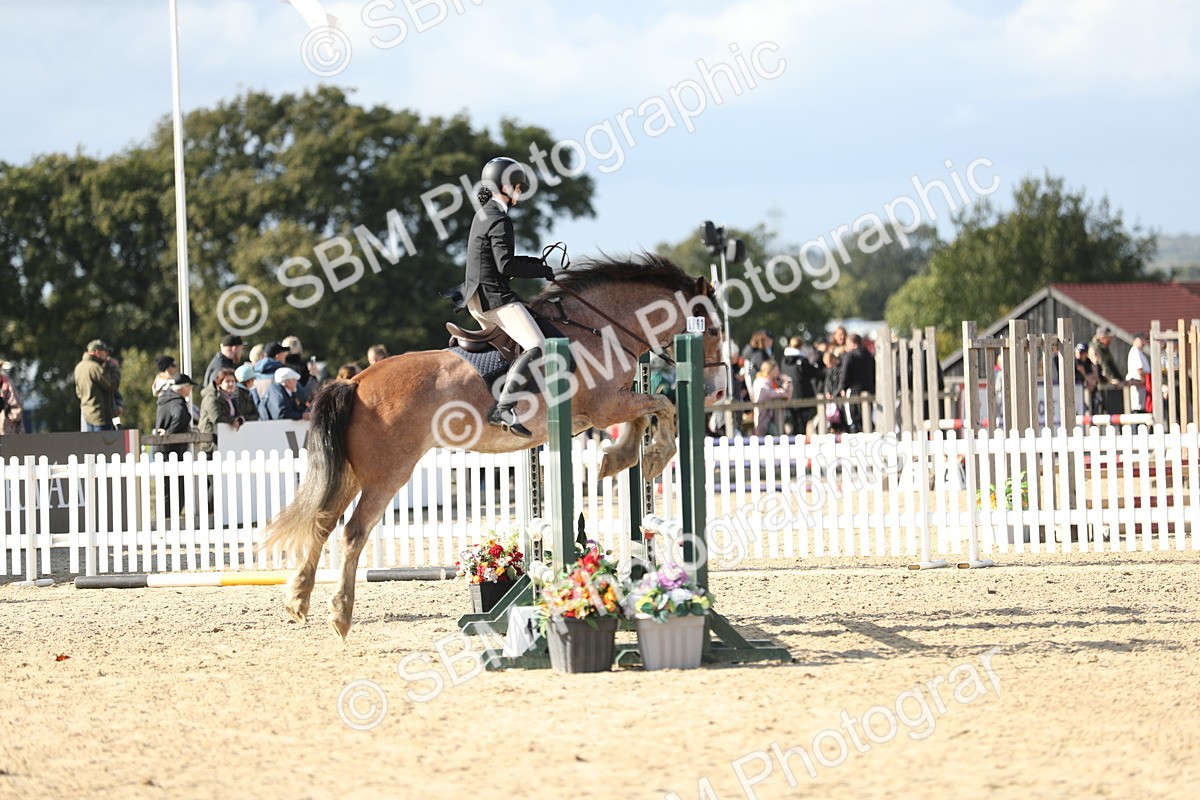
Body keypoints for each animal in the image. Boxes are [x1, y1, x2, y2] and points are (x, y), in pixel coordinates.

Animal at [262, 253, 727, 639]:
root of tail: (355, 382)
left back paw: (298, 600)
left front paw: (620, 459)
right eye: (714, 328)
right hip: (387, 475)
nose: (720, 391)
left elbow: (647, 414)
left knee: (323, 521)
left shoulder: (607, 408)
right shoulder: (606, 406)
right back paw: (340, 614)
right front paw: (648, 457)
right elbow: (662, 406)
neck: (602, 327)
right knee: (353, 532)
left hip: (353, 473)